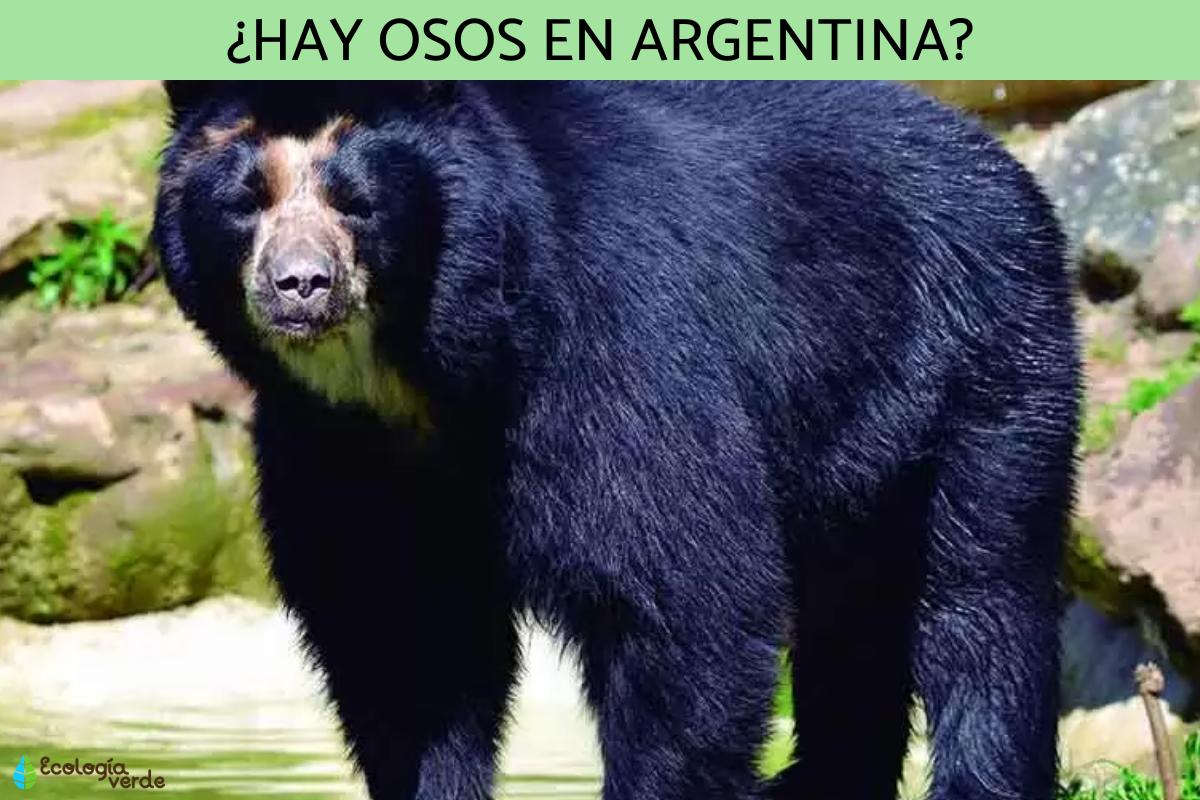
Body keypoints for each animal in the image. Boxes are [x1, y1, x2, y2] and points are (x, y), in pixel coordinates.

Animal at [153, 80, 1080, 800]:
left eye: (359, 203)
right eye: (246, 202)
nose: (301, 285)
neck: (416, 377)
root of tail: (995, 154)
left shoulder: (611, 346)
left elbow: (679, 593)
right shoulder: (333, 446)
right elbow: (395, 628)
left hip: (979, 359)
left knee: (981, 598)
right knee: (854, 609)